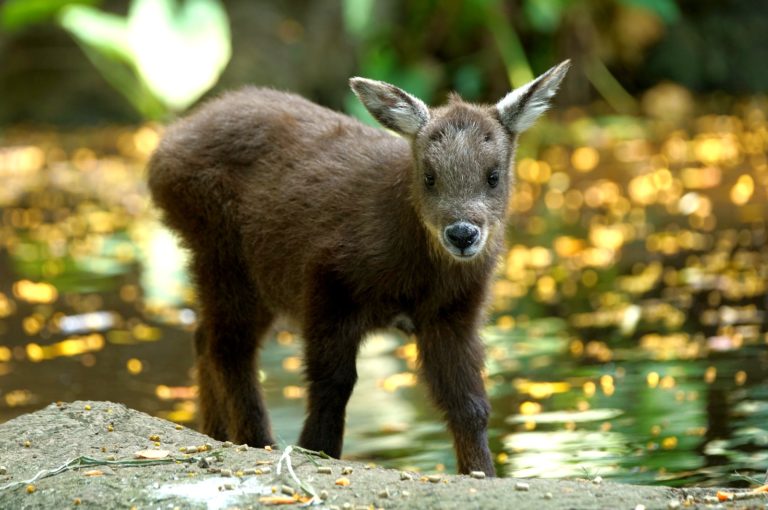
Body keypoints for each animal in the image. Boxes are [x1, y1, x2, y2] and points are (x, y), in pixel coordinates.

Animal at [148, 60, 568, 474]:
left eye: (494, 175)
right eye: (429, 177)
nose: (462, 234)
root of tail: (161, 155)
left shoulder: (453, 315)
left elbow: (469, 404)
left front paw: (481, 473)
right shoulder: (326, 283)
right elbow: (332, 383)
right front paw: (316, 450)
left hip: (250, 277)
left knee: (205, 337)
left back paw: (215, 434)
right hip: (224, 256)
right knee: (228, 347)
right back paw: (257, 441)